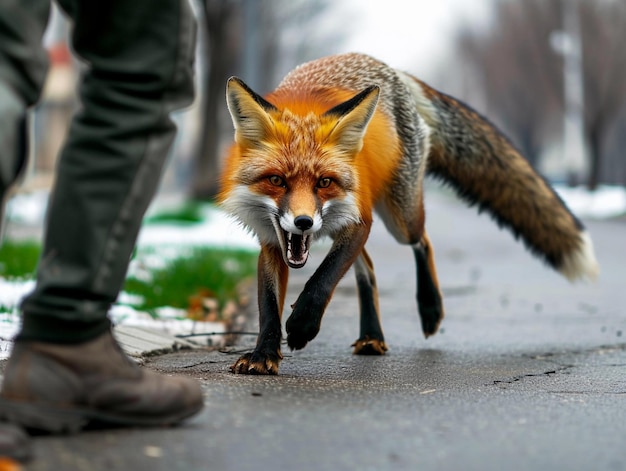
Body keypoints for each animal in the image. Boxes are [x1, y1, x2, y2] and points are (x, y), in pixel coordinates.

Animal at [217, 52, 596, 376]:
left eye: (324, 182)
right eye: (277, 180)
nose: (304, 222)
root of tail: (389, 68)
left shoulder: (359, 221)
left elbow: (321, 280)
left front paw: (301, 327)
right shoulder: (272, 239)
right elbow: (268, 307)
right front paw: (264, 355)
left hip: (400, 218)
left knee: (421, 241)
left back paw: (430, 307)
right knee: (368, 269)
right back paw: (372, 335)